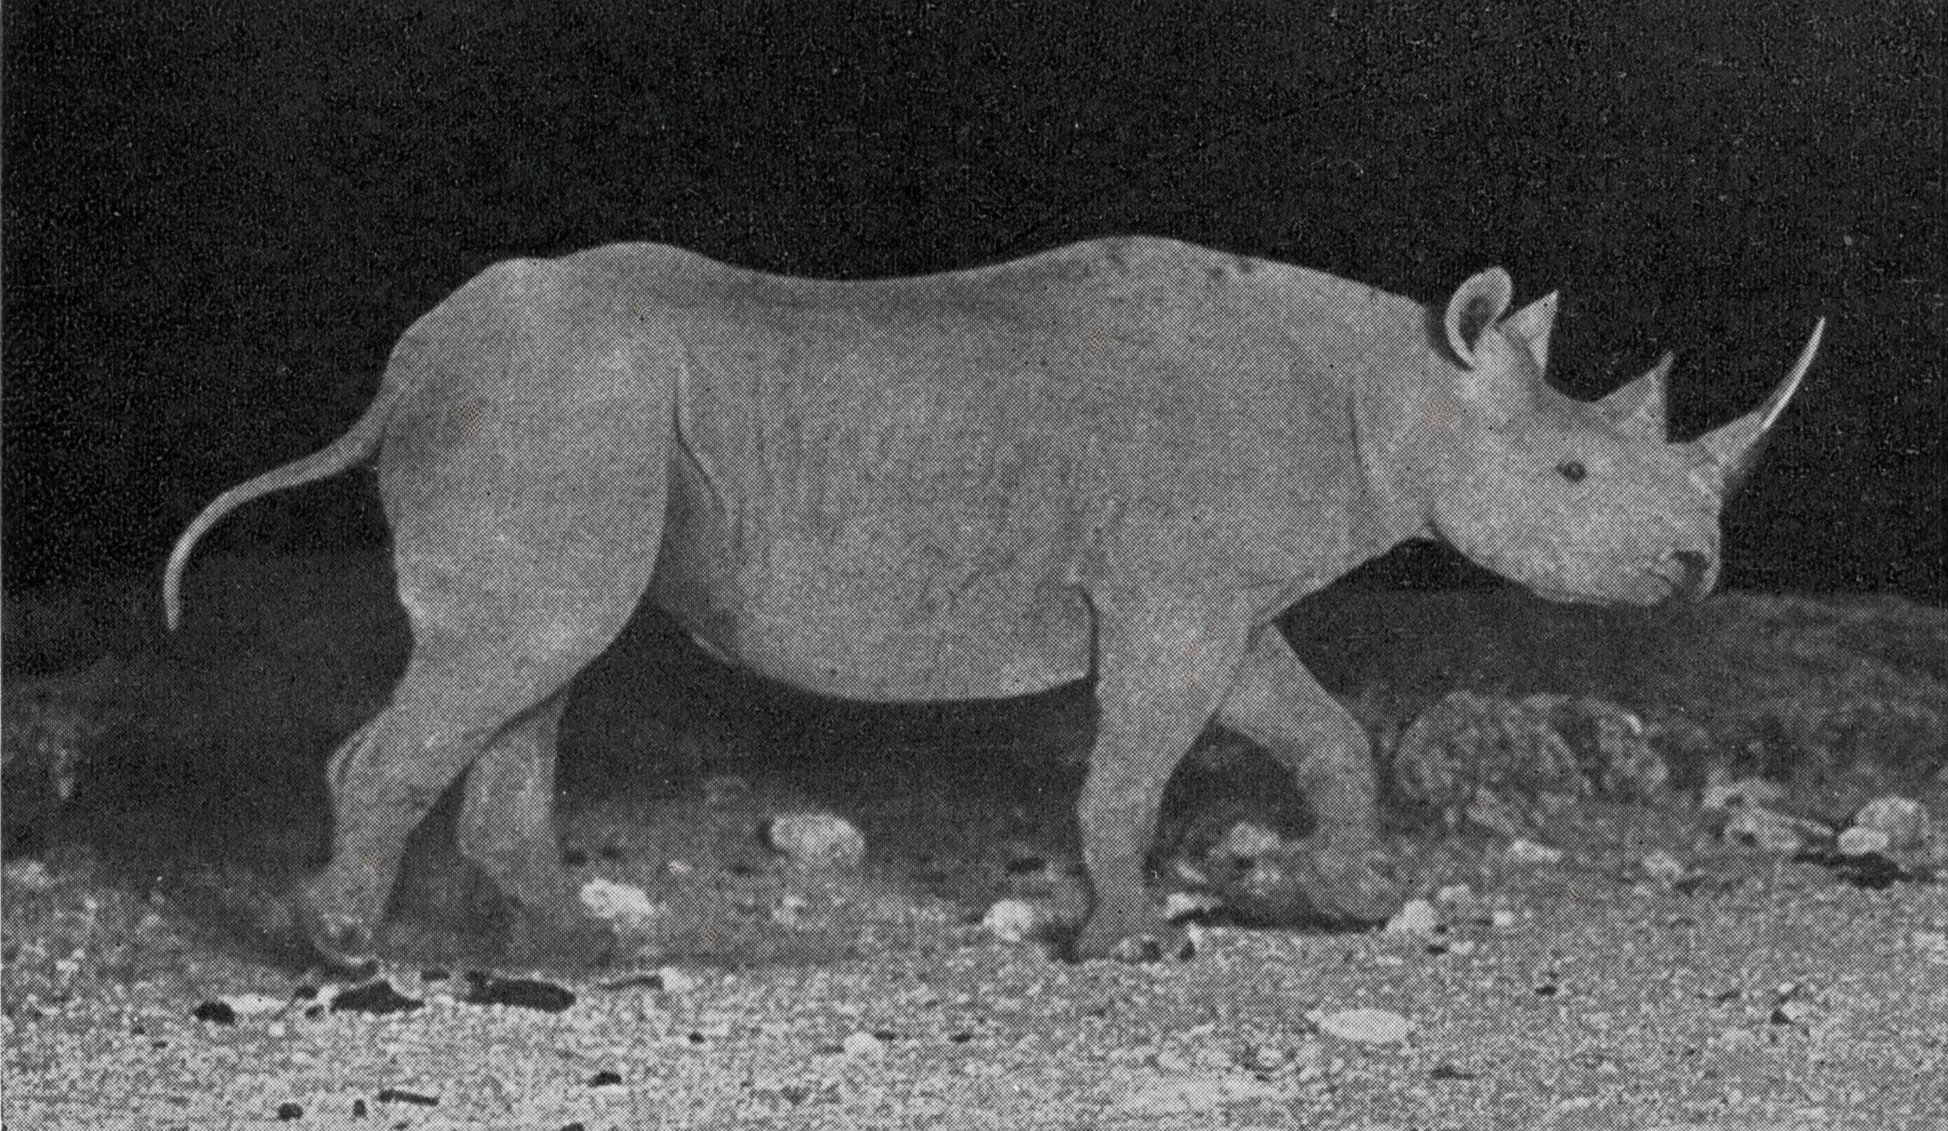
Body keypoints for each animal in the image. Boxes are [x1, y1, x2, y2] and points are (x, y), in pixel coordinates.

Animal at [162, 236, 1823, 966]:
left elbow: (1323, 729)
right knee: (524, 651)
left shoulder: (1220, 592)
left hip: (571, 417)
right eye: (1573, 471)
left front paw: (1342, 897)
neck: (1405, 387)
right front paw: (1133, 939)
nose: (1698, 570)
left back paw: (588, 948)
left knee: (537, 662)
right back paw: (345, 952)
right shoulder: (1173, 592)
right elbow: (1134, 764)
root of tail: (402, 368)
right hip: (556, 405)